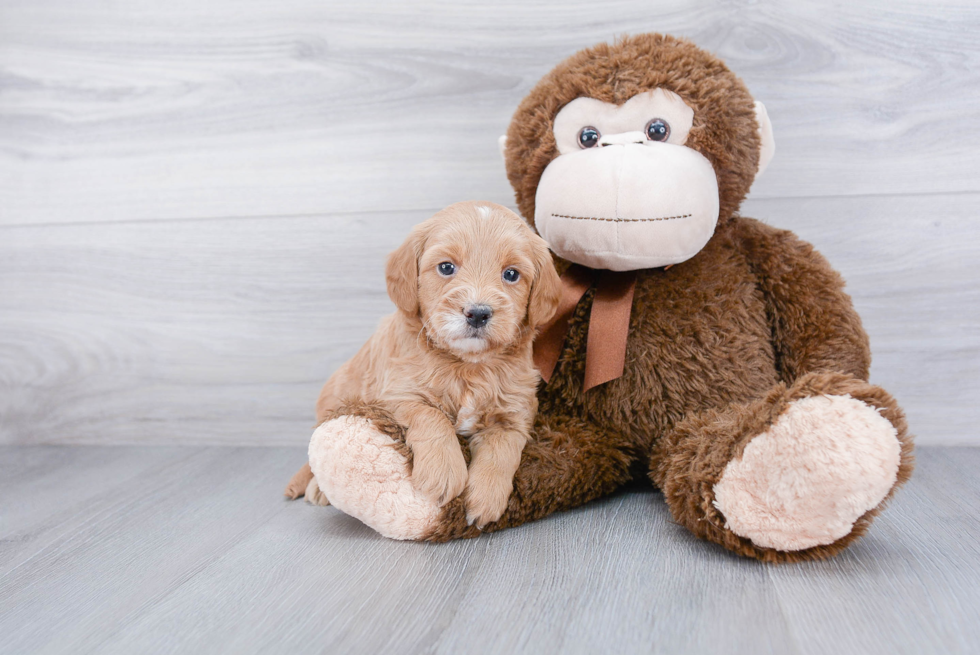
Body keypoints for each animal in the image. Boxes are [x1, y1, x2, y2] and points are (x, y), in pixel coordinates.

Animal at [288, 202, 560, 532]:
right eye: (446, 268)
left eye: (511, 274)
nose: (478, 313)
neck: (468, 367)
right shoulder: (396, 395)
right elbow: (432, 416)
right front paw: (444, 474)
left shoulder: (514, 414)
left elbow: (502, 450)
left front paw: (485, 499)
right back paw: (316, 487)